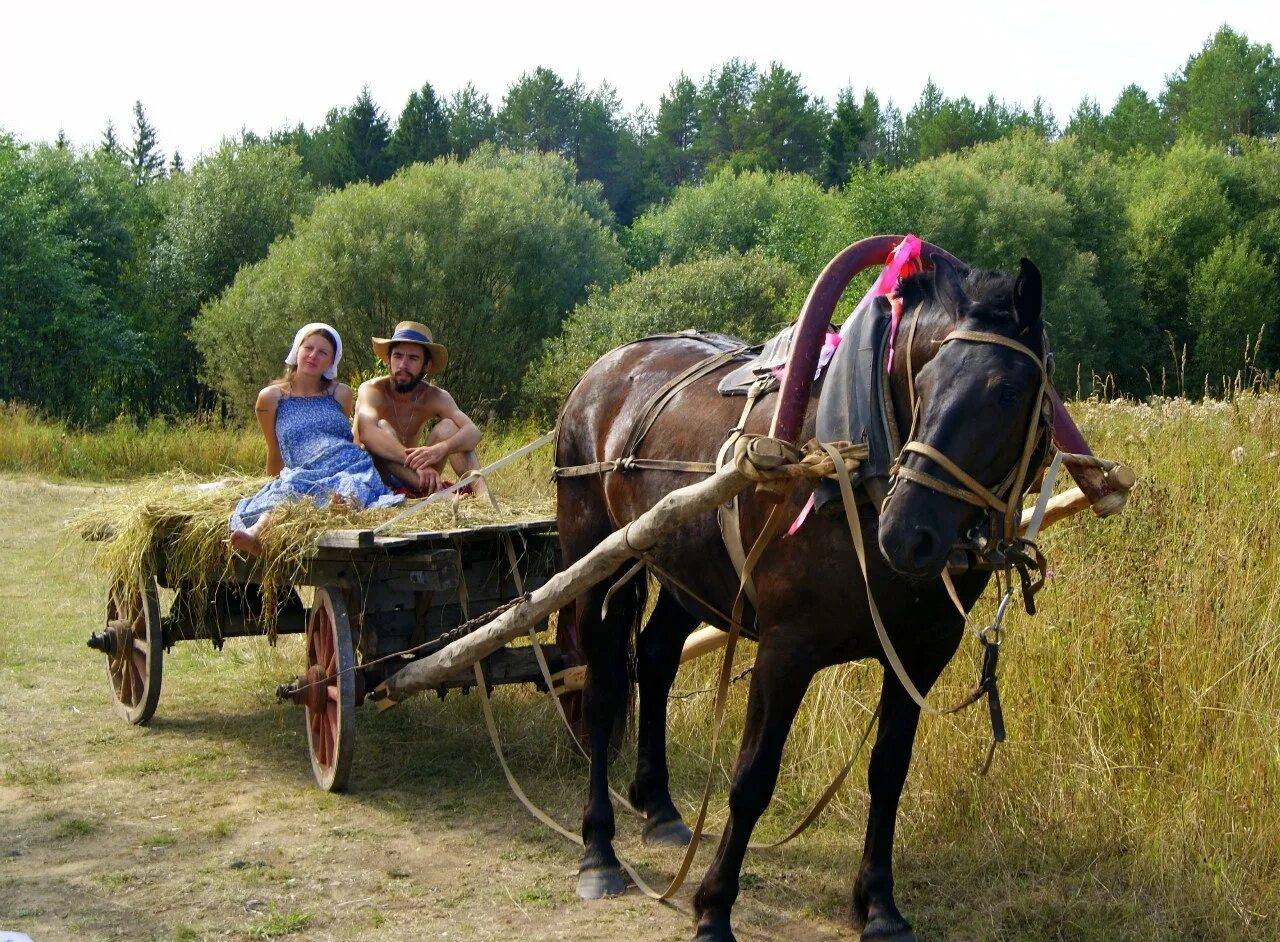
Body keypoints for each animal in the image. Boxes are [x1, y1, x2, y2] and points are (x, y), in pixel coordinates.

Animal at [558, 252, 1049, 941]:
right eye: (924, 381)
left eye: (1006, 393)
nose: (908, 533)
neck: (852, 460)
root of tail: (604, 369)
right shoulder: (786, 651)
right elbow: (752, 779)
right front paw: (713, 908)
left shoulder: (922, 653)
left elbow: (887, 773)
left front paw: (880, 905)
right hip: (598, 562)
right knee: (603, 691)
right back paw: (598, 850)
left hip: (687, 571)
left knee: (654, 660)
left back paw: (658, 807)